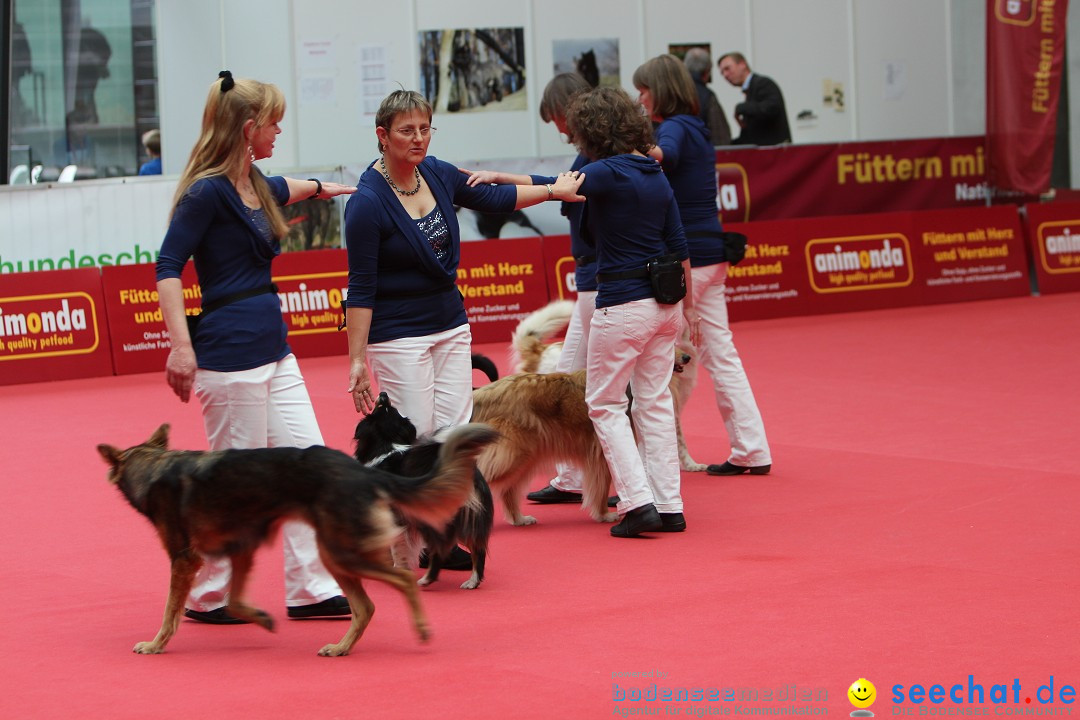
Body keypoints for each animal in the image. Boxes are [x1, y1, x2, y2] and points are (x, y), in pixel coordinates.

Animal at [97, 423, 496, 651]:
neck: (154, 466)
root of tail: (364, 471)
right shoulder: (241, 549)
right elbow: (237, 601)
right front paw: (261, 618)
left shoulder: (183, 560)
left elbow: (169, 612)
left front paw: (155, 644)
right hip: (334, 553)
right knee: (365, 607)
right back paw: (341, 647)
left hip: (343, 552)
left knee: (402, 581)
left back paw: (421, 627)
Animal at [354, 395, 494, 591]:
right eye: (390, 408)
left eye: (380, 407)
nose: (383, 395)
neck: (387, 445)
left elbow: (397, 547)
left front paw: (398, 570)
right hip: (470, 517)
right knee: (478, 550)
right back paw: (472, 582)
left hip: (430, 519)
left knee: (440, 551)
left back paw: (426, 580)